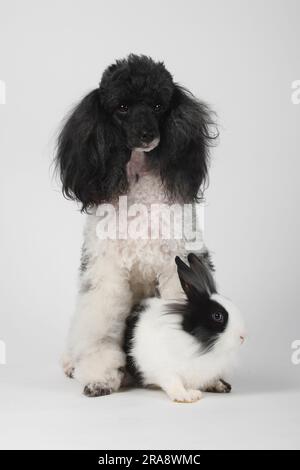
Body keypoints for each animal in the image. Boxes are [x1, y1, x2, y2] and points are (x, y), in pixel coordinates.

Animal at [123, 252, 245, 402]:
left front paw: (220, 385)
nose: (243, 336)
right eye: (217, 316)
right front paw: (188, 396)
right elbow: (174, 384)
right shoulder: (166, 370)